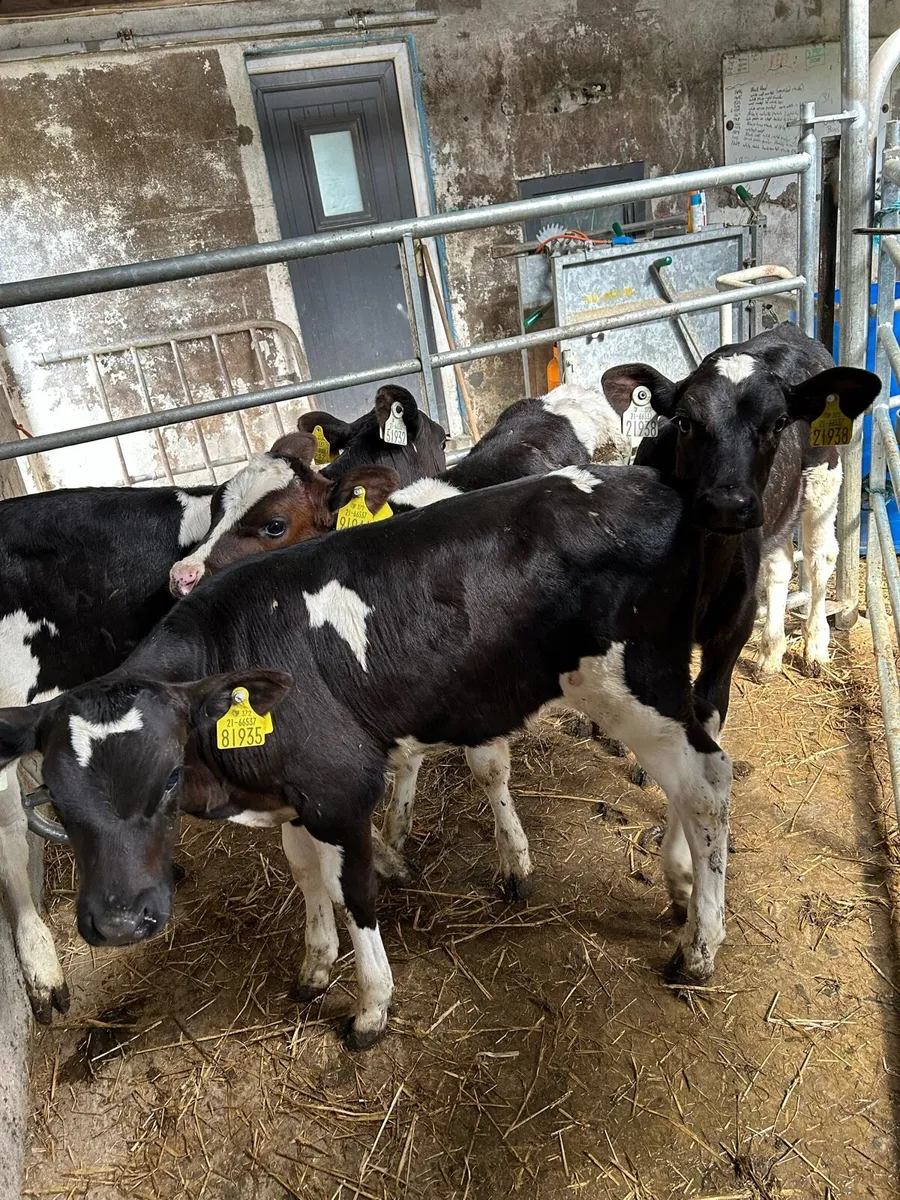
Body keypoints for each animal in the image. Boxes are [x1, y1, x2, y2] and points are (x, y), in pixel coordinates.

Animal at [0, 356, 876, 1048]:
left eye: (165, 784)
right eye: (65, 807)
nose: (119, 925)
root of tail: (660, 483)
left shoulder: (339, 786)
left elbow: (355, 892)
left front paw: (370, 1007)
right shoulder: (293, 789)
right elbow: (306, 875)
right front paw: (315, 966)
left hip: (644, 681)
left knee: (706, 782)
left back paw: (701, 943)